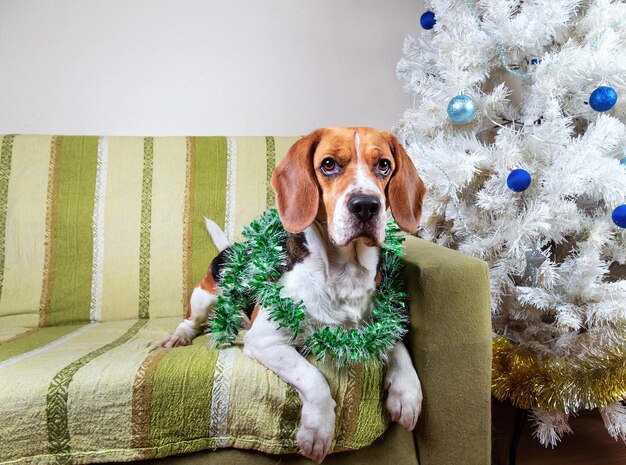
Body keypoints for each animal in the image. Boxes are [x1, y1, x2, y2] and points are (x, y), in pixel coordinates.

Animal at [160, 126, 424, 460]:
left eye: (384, 165)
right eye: (328, 164)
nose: (366, 204)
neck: (344, 274)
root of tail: (230, 249)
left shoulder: (376, 324)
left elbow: (400, 347)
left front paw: (407, 393)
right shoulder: (266, 341)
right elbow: (314, 377)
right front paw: (318, 429)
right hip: (204, 296)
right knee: (191, 321)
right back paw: (179, 336)